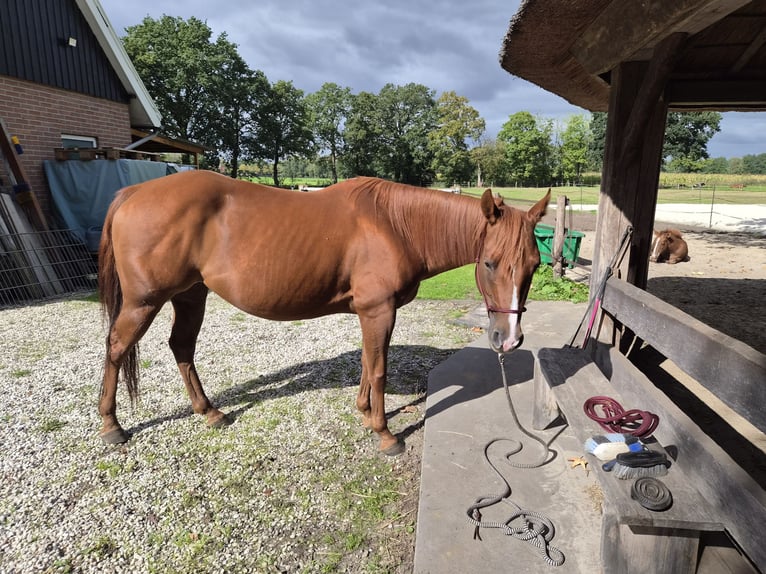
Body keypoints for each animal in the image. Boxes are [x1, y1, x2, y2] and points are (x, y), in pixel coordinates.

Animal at [98, 171, 549, 455]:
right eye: (489, 262)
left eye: (534, 265)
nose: (508, 338)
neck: (395, 225)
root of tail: (134, 192)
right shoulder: (378, 311)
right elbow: (379, 368)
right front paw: (385, 434)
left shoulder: (370, 313)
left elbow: (368, 362)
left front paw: (365, 412)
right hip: (143, 302)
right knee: (117, 347)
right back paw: (112, 426)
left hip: (191, 296)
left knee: (181, 347)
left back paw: (209, 412)